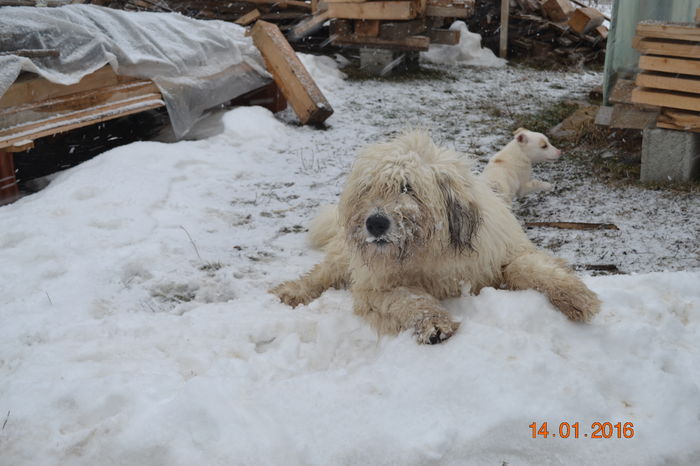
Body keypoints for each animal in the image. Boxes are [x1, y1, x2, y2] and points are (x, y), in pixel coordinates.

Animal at [270, 130, 600, 342]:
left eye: (407, 187)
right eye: (367, 188)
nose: (375, 224)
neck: (433, 250)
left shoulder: (501, 252)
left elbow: (531, 267)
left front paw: (575, 297)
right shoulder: (377, 286)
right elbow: (408, 299)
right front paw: (435, 324)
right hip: (344, 257)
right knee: (320, 273)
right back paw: (290, 292)